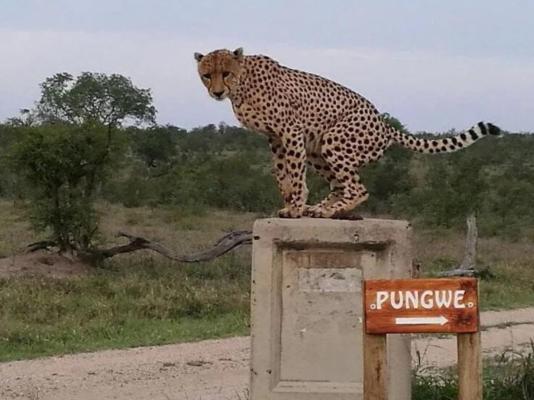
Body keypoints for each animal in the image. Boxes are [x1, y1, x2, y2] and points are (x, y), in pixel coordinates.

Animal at [194, 48, 502, 220]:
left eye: (226, 72)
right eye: (207, 75)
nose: (217, 92)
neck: (242, 84)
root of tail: (385, 124)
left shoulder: (290, 131)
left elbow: (295, 174)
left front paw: (295, 206)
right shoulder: (275, 137)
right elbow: (282, 174)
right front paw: (289, 205)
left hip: (334, 140)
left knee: (358, 188)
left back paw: (326, 210)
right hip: (317, 148)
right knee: (340, 185)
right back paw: (321, 209)